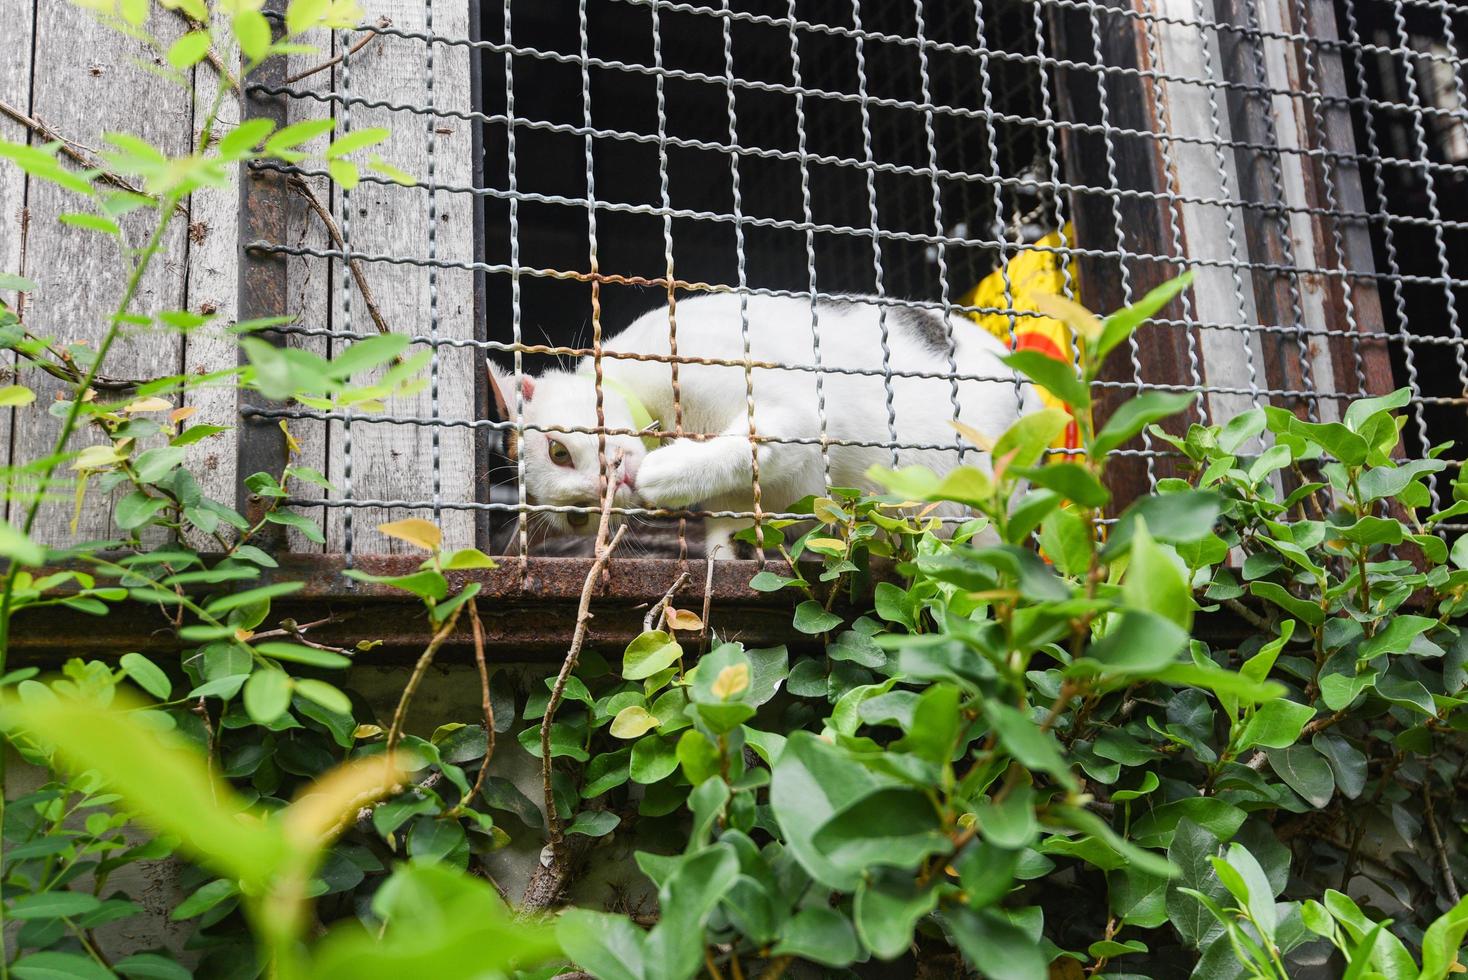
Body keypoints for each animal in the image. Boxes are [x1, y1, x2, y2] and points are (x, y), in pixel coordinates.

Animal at [493, 290, 1045, 554]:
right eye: (577, 516)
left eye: (558, 451)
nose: (612, 482)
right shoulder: (750, 498)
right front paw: (721, 553)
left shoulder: (792, 408)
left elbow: (748, 443)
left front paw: (663, 474)